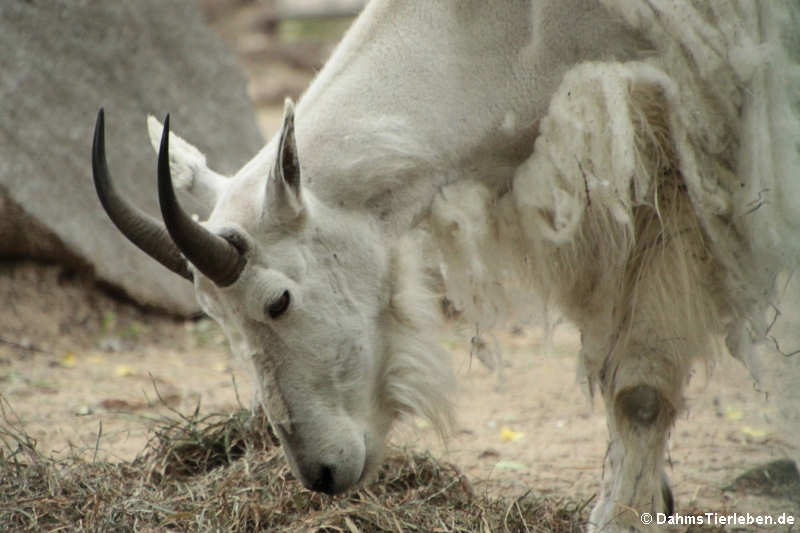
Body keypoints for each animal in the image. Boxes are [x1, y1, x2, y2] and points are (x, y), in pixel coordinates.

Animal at [89, 2, 800, 528]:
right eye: (219, 321)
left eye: (278, 299)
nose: (321, 474)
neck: (509, 35)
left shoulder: (679, 150)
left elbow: (640, 389)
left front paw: (620, 517)